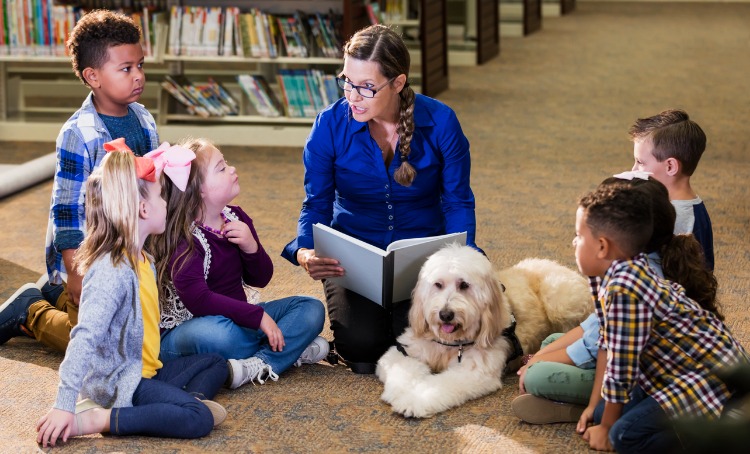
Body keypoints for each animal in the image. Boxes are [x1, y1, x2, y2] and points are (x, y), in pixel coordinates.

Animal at [376, 245, 592, 418]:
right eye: (438, 284)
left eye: (464, 285)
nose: (445, 314)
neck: (450, 343)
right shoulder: (405, 350)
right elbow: (400, 370)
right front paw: (398, 392)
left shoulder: (474, 371)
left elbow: (436, 386)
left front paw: (411, 401)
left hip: (561, 301)